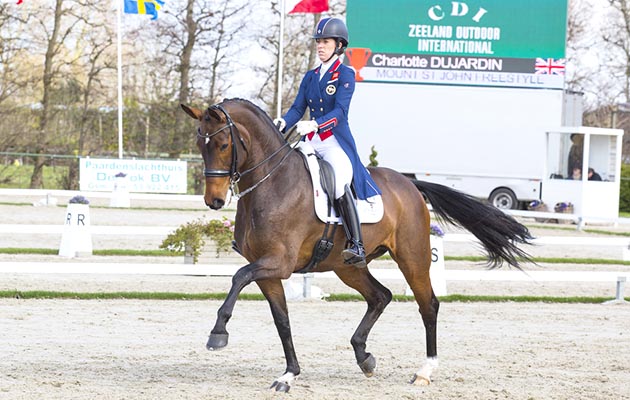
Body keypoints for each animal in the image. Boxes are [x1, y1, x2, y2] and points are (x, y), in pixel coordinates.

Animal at [180, 98, 536, 392]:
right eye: (199, 143)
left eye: (223, 144)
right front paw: (289, 375)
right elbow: (282, 321)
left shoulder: (278, 262)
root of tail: (410, 183)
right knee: (380, 296)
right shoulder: (269, 271)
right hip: (347, 266)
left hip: (413, 257)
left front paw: (218, 334)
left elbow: (238, 277)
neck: (273, 183)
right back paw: (364, 356)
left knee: (428, 305)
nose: (213, 201)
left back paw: (424, 371)